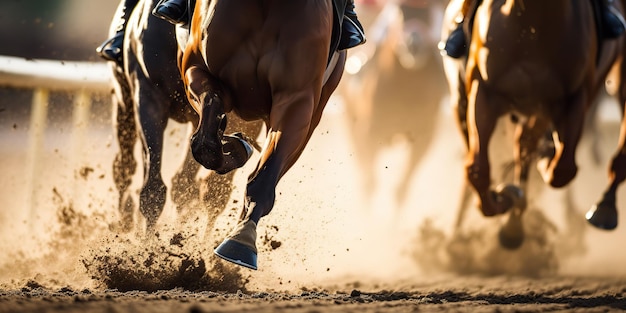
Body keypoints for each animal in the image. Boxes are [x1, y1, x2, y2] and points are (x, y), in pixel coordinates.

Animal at [105, 0, 260, 233]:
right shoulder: (147, 96)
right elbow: (153, 189)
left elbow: (210, 187)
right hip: (124, 101)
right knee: (124, 167)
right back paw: (124, 221)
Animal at [177, 0, 346, 268]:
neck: (267, 4)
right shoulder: (196, 68)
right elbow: (206, 143)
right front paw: (233, 147)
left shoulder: (298, 98)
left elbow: (265, 175)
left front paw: (241, 241)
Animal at [438, 0, 624, 249]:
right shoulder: (483, 91)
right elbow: (477, 169)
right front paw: (502, 198)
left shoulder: (571, 98)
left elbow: (563, 169)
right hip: (461, 99)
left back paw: (603, 208)